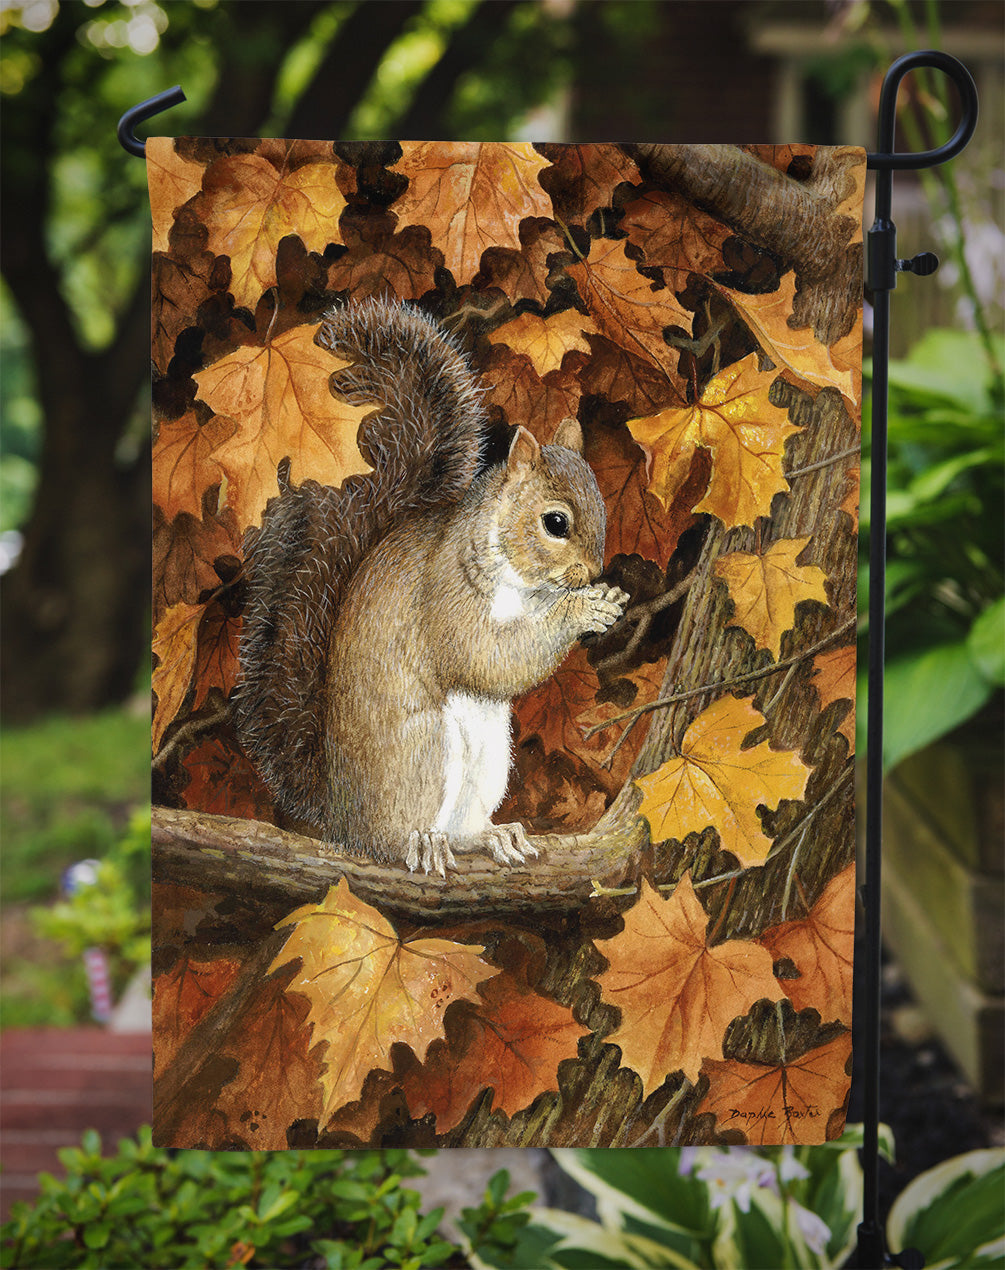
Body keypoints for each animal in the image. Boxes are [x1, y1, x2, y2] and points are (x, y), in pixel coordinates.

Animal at [235, 297, 627, 875]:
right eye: (555, 522)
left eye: (602, 503)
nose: (592, 574)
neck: (522, 585)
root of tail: (340, 817)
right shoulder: (446, 592)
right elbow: (485, 656)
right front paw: (582, 611)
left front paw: (605, 602)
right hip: (420, 752)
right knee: (393, 834)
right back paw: (418, 842)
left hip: (489, 757)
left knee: (463, 828)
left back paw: (493, 836)